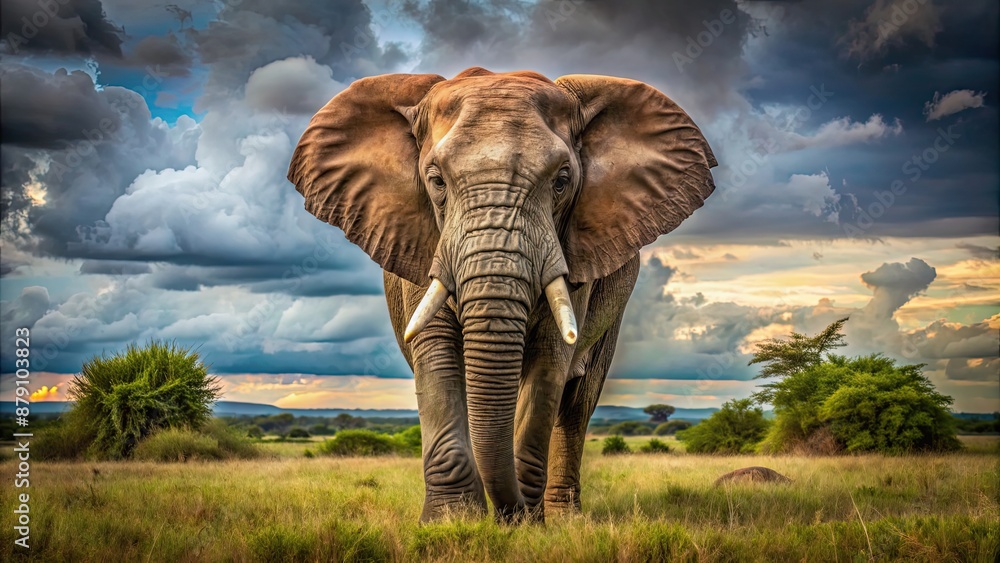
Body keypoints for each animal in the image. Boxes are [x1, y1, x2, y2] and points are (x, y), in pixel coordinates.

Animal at [287, 67, 717, 523]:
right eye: (436, 181)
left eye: (562, 181)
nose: (509, 516)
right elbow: (437, 355)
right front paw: (451, 522)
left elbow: (550, 361)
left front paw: (526, 524)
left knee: (577, 404)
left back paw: (564, 518)